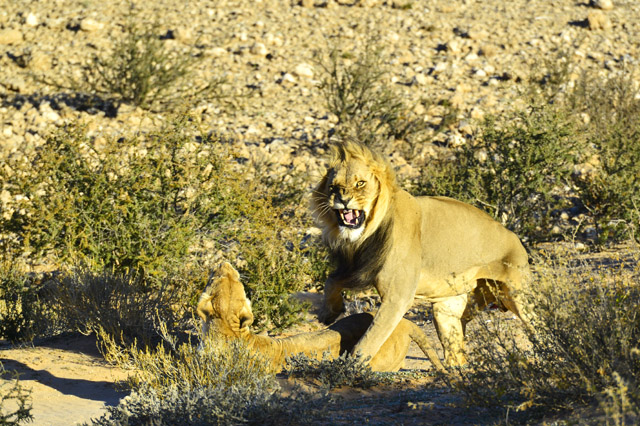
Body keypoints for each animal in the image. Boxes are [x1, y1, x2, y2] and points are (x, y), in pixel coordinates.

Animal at [310, 141, 532, 366]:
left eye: (360, 183)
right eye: (333, 187)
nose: (342, 200)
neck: (365, 235)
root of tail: (515, 237)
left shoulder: (397, 297)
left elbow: (370, 340)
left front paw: (349, 367)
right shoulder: (358, 267)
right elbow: (331, 281)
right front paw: (328, 314)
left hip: (518, 297)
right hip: (448, 309)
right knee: (456, 354)